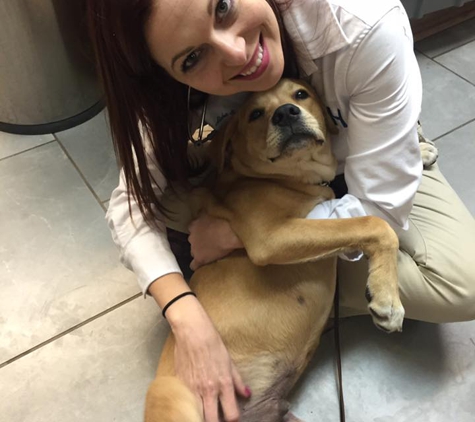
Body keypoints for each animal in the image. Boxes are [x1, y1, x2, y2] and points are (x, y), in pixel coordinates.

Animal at [145, 80, 406, 422]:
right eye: (255, 114)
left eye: (300, 94)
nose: (285, 113)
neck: (288, 178)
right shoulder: (271, 236)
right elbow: (373, 223)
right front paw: (386, 297)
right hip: (172, 396)